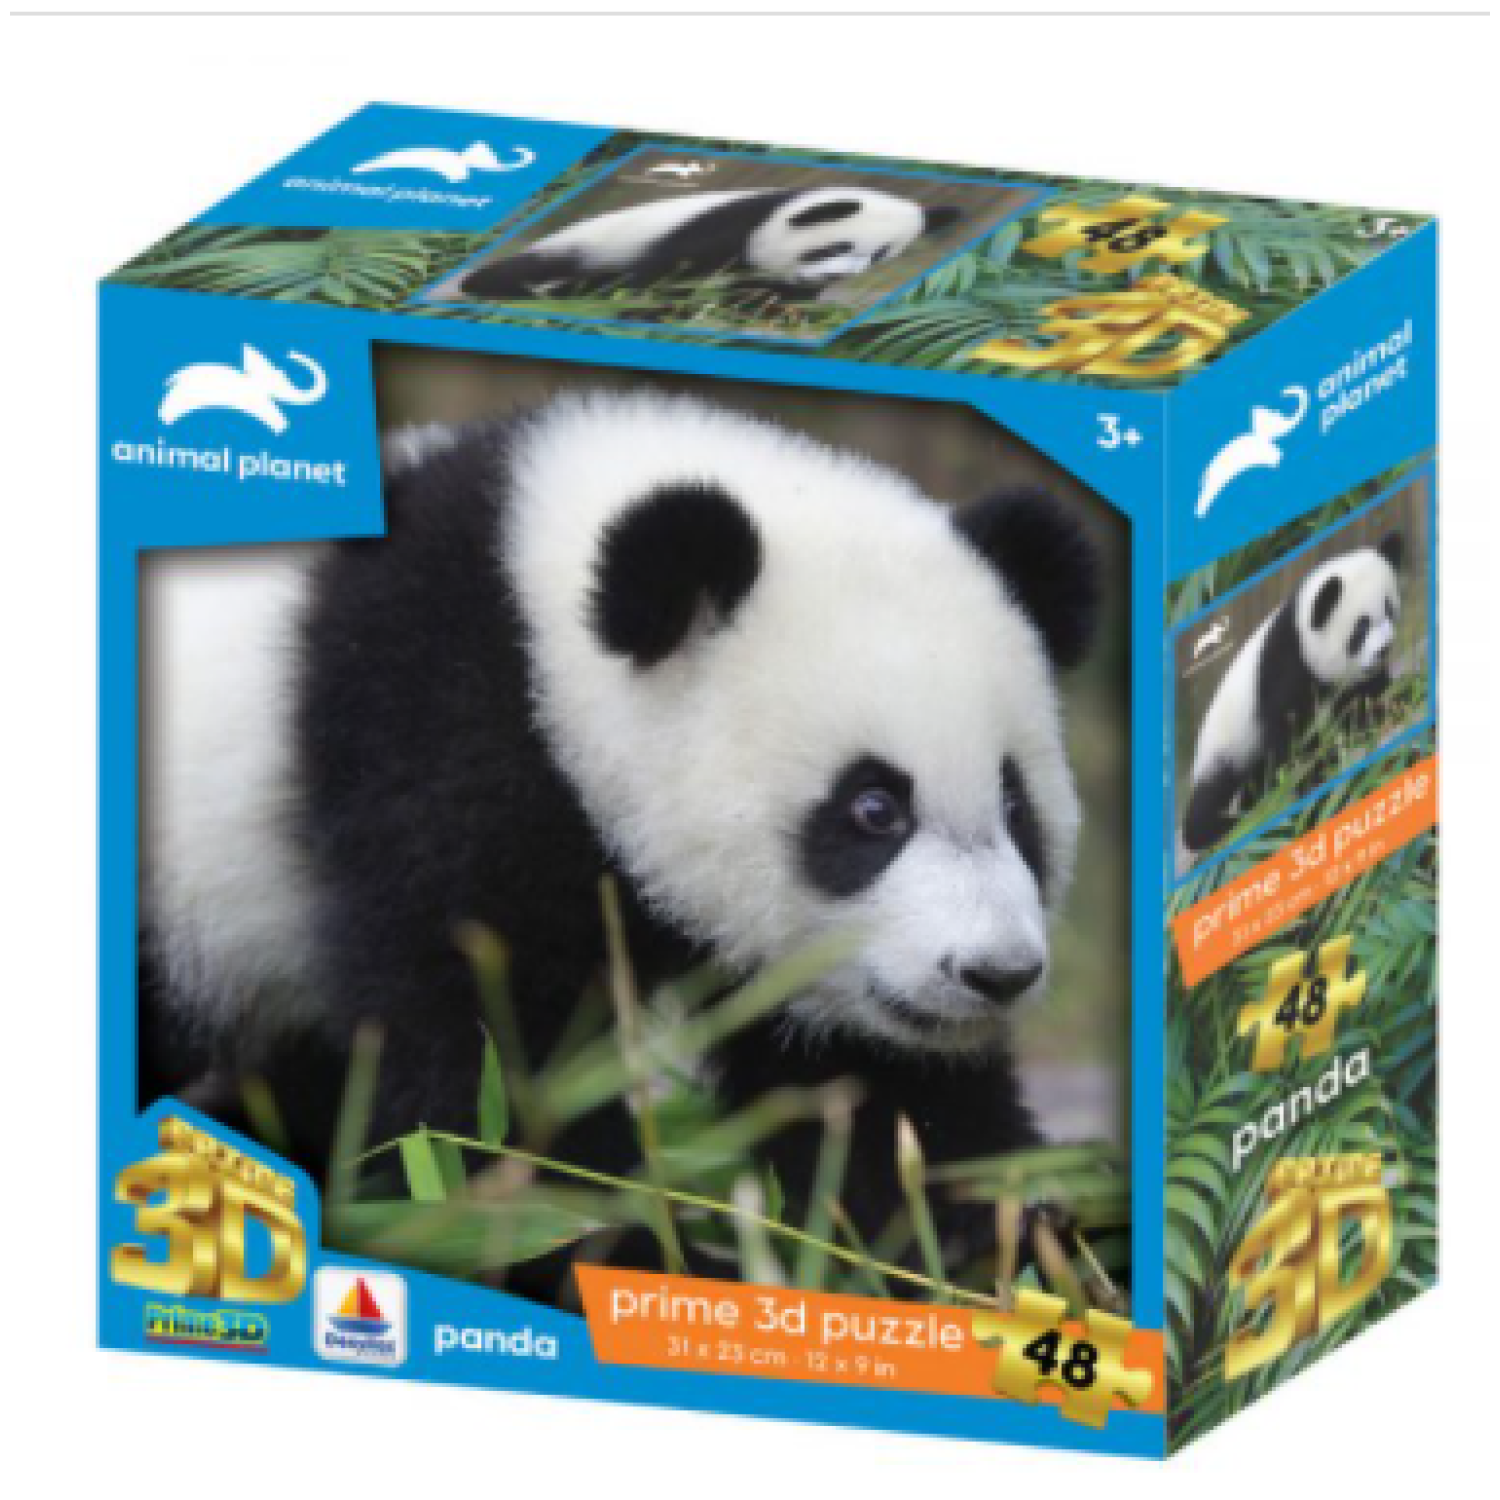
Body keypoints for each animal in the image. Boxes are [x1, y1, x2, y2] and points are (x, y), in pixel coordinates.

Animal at [139, 391, 1099, 1289]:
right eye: (874, 809)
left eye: (1016, 806)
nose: (996, 974)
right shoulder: (437, 743)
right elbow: (486, 1061)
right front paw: (630, 1254)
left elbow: (874, 1095)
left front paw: (999, 1245)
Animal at [1180, 534, 1404, 861]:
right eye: (1361, 627)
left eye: (1389, 609)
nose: (1384, 649)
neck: (1301, 628)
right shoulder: (1285, 667)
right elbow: (1289, 735)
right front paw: (1312, 773)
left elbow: (1361, 699)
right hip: (1223, 746)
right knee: (1211, 796)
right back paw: (1214, 829)